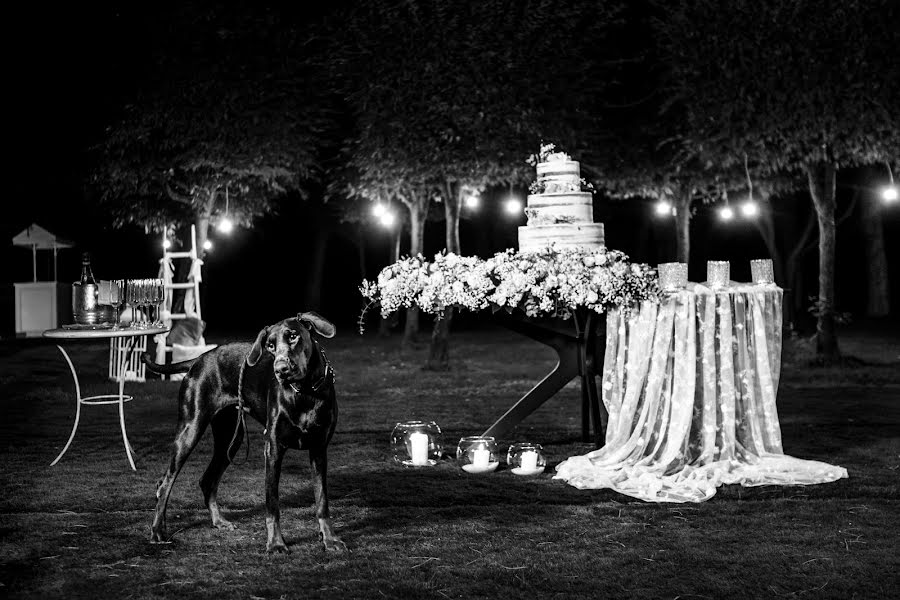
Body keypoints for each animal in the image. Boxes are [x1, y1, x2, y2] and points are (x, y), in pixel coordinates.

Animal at [144, 314, 344, 552]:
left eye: (293, 336)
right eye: (270, 345)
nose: (281, 369)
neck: (304, 392)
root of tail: (198, 360)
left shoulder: (319, 448)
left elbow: (322, 500)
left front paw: (330, 539)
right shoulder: (273, 448)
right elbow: (272, 505)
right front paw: (276, 543)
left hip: (230, 438)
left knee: (207, 480)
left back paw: (218, 521)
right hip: (190, 430)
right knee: (165, 484)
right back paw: (157, 530)